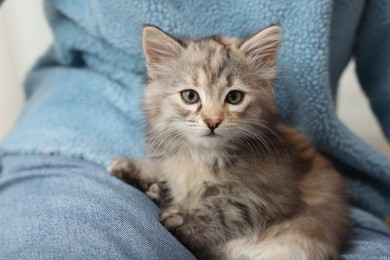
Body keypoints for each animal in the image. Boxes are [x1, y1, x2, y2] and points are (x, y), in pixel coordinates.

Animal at [109, 24, 350, 260]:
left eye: (234, 97)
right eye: (190, 96)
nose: (213, 121)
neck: (202, 156)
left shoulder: (266, 196)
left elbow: (222, 208)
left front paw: (180, 220)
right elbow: (165, 170)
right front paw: (131, 168)